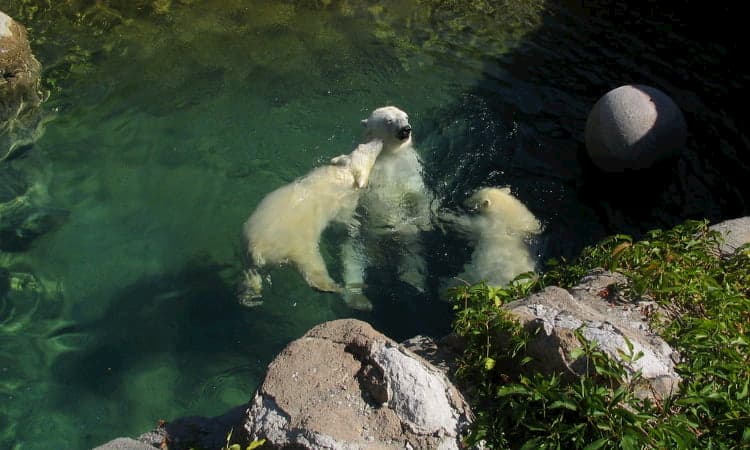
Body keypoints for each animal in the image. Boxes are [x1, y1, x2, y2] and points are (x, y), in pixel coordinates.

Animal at [239, 139, 384, 308]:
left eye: (363, 145)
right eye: (368, 150)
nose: (379, 140)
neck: (342, 173)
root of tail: (258, 249)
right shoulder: (346, 200)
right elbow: (345, 218)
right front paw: (354, 226)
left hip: (246, 240)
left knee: (250, 271)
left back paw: (250, 295)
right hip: (298, 243)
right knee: (312, 267)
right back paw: (332, 287)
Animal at [340, 106, 434, 310]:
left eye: (406, 116)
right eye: (389, 120)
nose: (406, 129)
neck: (390, 156)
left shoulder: (411, 166)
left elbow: (418, 193)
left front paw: (426, 222)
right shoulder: (370, 171)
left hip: (409, 238)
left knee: (413, 252)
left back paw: (413, 281)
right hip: (360, 240)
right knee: (352, 257)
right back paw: (359, 300)